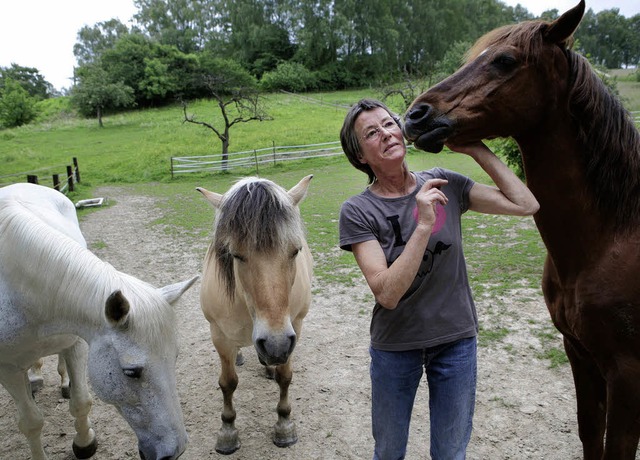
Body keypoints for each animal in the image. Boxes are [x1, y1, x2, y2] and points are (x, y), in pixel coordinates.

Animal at [0, 183, 198, 460]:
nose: (175, 451)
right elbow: (31, 423)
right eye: (131, 372)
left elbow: (81, 403)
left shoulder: (78, 344)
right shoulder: (7, 369)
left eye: (175, 358)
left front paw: (84, 443)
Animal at [196, 174, 314, 454]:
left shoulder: (294, 326)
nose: (275, 344)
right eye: (235, 255)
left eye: (295, 250)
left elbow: (285, 377)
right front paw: (227, 432)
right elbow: (228, 382)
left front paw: (284, 426)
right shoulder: (219, 336)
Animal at [404, 1, 640, 458]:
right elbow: (590, 433)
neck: (610, 240)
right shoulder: (579, 354)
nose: (415, 115)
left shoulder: (627, 373)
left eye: (505, 60)